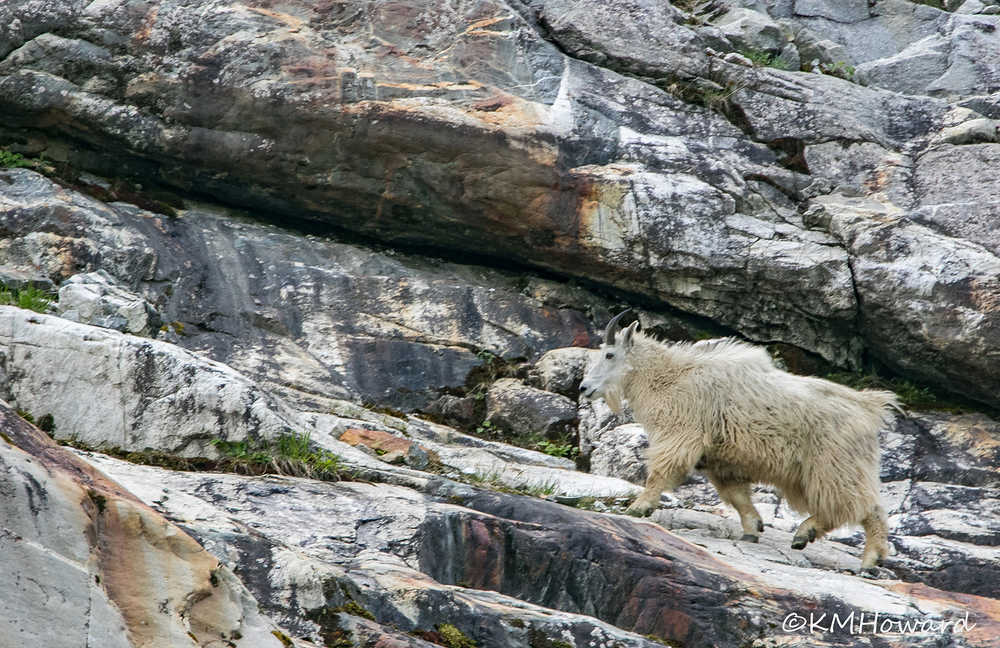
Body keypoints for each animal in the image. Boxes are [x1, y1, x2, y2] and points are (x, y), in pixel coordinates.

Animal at [579, 311, 899, 571]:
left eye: (609, 354)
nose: (584, 388)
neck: (670, 377)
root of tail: (871, 409)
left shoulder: (681, 433)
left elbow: (660, 471)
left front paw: (639, 507)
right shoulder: (720, 460)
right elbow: (737, 495)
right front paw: (752, 529)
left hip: (834, 465)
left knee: (860, 507)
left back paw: (855, 553)